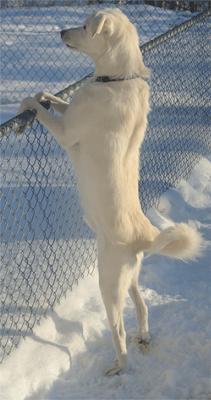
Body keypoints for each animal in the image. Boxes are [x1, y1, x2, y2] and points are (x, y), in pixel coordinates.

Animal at [19, 8, 203, 376]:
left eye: (84, 26)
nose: (61, 31)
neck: (118, 78)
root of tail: (146, 237)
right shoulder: (71, 110)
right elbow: (58, 100)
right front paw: (45, 94)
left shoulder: (65, 132)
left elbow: (44, 111)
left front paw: (29, 100)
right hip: (128, 278)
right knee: (143, 308)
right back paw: (143, 337)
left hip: (109, 283)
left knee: (118, 328)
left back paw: (119, 365)